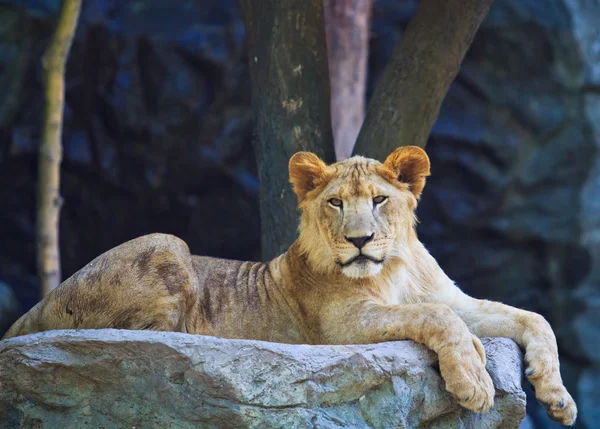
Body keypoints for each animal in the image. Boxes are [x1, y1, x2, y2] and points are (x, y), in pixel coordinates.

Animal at [3, 146, 576, 424]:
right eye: (336, 203)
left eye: (380, 200)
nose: (361, 240)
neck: (394, 266)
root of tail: (38, 304)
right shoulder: (339, 329)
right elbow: (442, 320)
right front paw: (475, 377)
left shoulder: (450, 296)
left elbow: (531, 317)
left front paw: (557, 396)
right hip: (168, 243)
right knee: (143, 340)